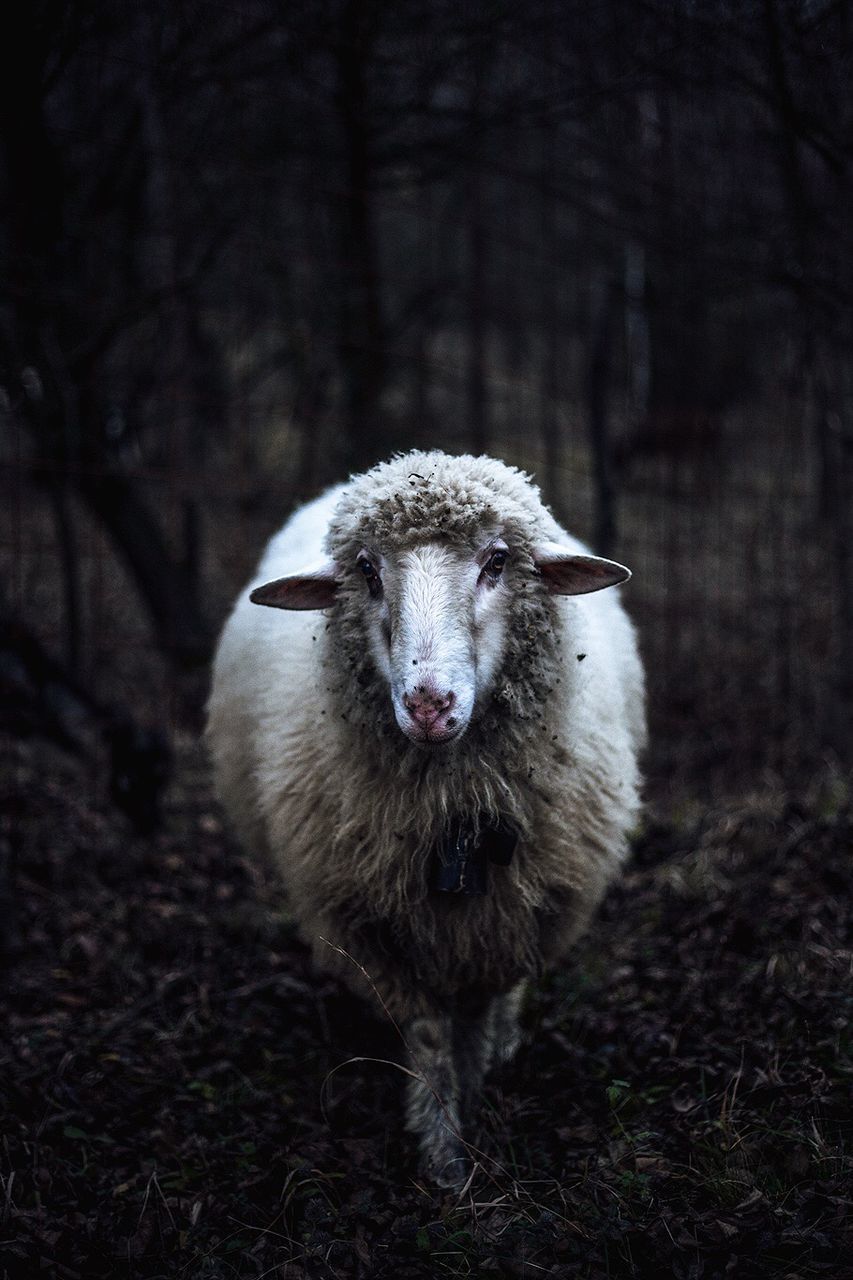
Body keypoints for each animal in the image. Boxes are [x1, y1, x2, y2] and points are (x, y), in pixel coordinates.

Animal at [207, 453, 645, 1187]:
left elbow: (482, 1008)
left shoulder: (514, 914)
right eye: (365, 570)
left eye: (498, 561)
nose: (429, 705)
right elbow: (431, 1033)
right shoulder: (377, 931)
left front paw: (478, 1086)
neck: (452, 814)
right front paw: (442, 1154)